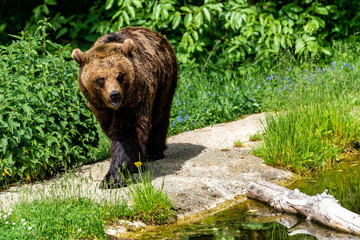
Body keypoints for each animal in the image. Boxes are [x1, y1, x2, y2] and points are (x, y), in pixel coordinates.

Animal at [71, 26, 178, 188]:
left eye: (120, 75)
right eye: (101, 79)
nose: (115, 95)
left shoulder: (134, 99)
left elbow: (127, 133)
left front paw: (114, 177)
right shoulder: (100, 108)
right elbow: (113, 130)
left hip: (165, 83)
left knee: (159, 115)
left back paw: (154, 151)